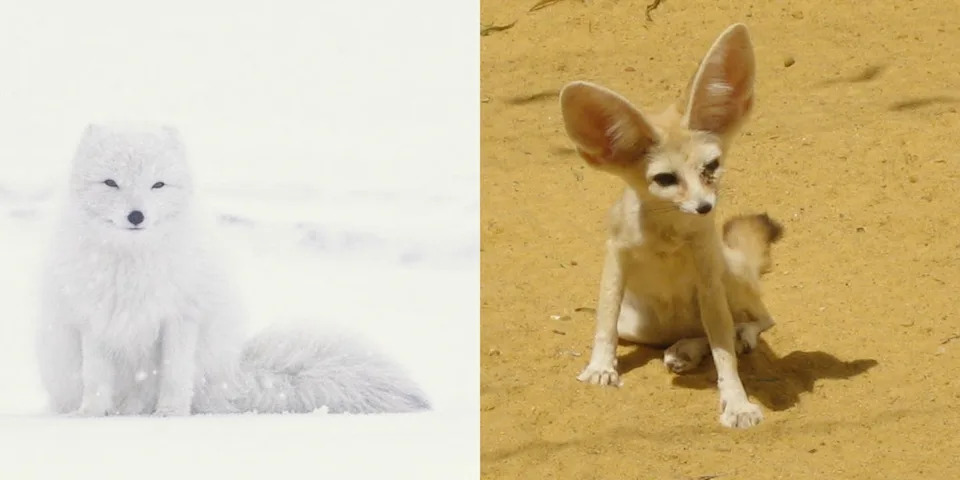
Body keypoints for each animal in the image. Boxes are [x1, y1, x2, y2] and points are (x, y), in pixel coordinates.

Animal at [36, 123, 431, 416]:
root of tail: (232, 376)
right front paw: (91, 415)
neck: (132, 263)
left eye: (157, 184)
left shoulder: (182, 315)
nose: (136, 215)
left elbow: (175, 372)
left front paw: (170, 414)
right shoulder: (93, 317)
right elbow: (95, 376)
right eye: (111, 183)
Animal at [559, 23, 782, 428]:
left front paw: (737, 402)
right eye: (665, 179)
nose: (704, 207)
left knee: (758, 320)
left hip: (730, 279)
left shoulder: (709, 279)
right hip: (638, 324)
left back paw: (719, 339)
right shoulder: (615, 256)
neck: (667, 236)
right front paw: (601, 367)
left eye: (711, 167)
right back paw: (684, 349)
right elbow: (604, 320)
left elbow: (723, 352)